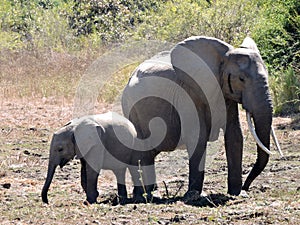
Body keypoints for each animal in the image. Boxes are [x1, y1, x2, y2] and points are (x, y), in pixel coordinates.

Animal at [122, 36, 282, 198]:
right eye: (241, 79)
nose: (246, 187)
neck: (222, 57)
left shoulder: (226, 95)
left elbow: (234, 135)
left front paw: (237, 194)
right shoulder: (188, 94)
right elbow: (197, 136)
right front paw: (194, 196)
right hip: (131, 107)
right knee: (142, 147)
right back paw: (146, 195)